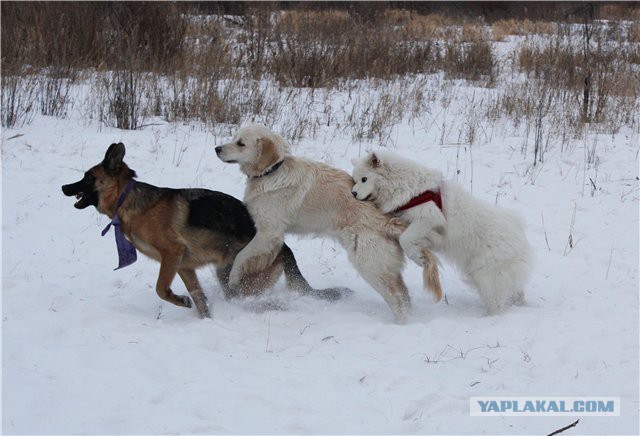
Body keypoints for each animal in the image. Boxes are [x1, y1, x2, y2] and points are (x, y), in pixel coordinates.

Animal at [63, 143, 344, 316]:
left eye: (87, 177)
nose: (64, 187)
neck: (128, 200)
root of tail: (285, 247)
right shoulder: (183, 265)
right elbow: (197, 297)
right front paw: (202, 315)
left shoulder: (171, 254)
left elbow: (161, 289)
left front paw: (181, 301)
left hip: (235, 276)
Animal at [212, 124, 442, 322]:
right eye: (234, 137)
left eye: (241, 143)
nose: (217, 148)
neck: (273, 171)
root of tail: (388, 220)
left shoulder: (268, 233)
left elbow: (242, 256)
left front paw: (233, 279)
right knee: (403, 293)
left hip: (369, 265)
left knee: (396, 296)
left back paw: (401, 323)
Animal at [350, 151, 528, 314]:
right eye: (355, 180)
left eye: (364, 179)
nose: (353, 193)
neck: (404, 186)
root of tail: (519, 236)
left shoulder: (429, 217)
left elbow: (405, 239)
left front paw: (418, 259)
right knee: (516, 290)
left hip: (486, 278)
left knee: (496, 302)